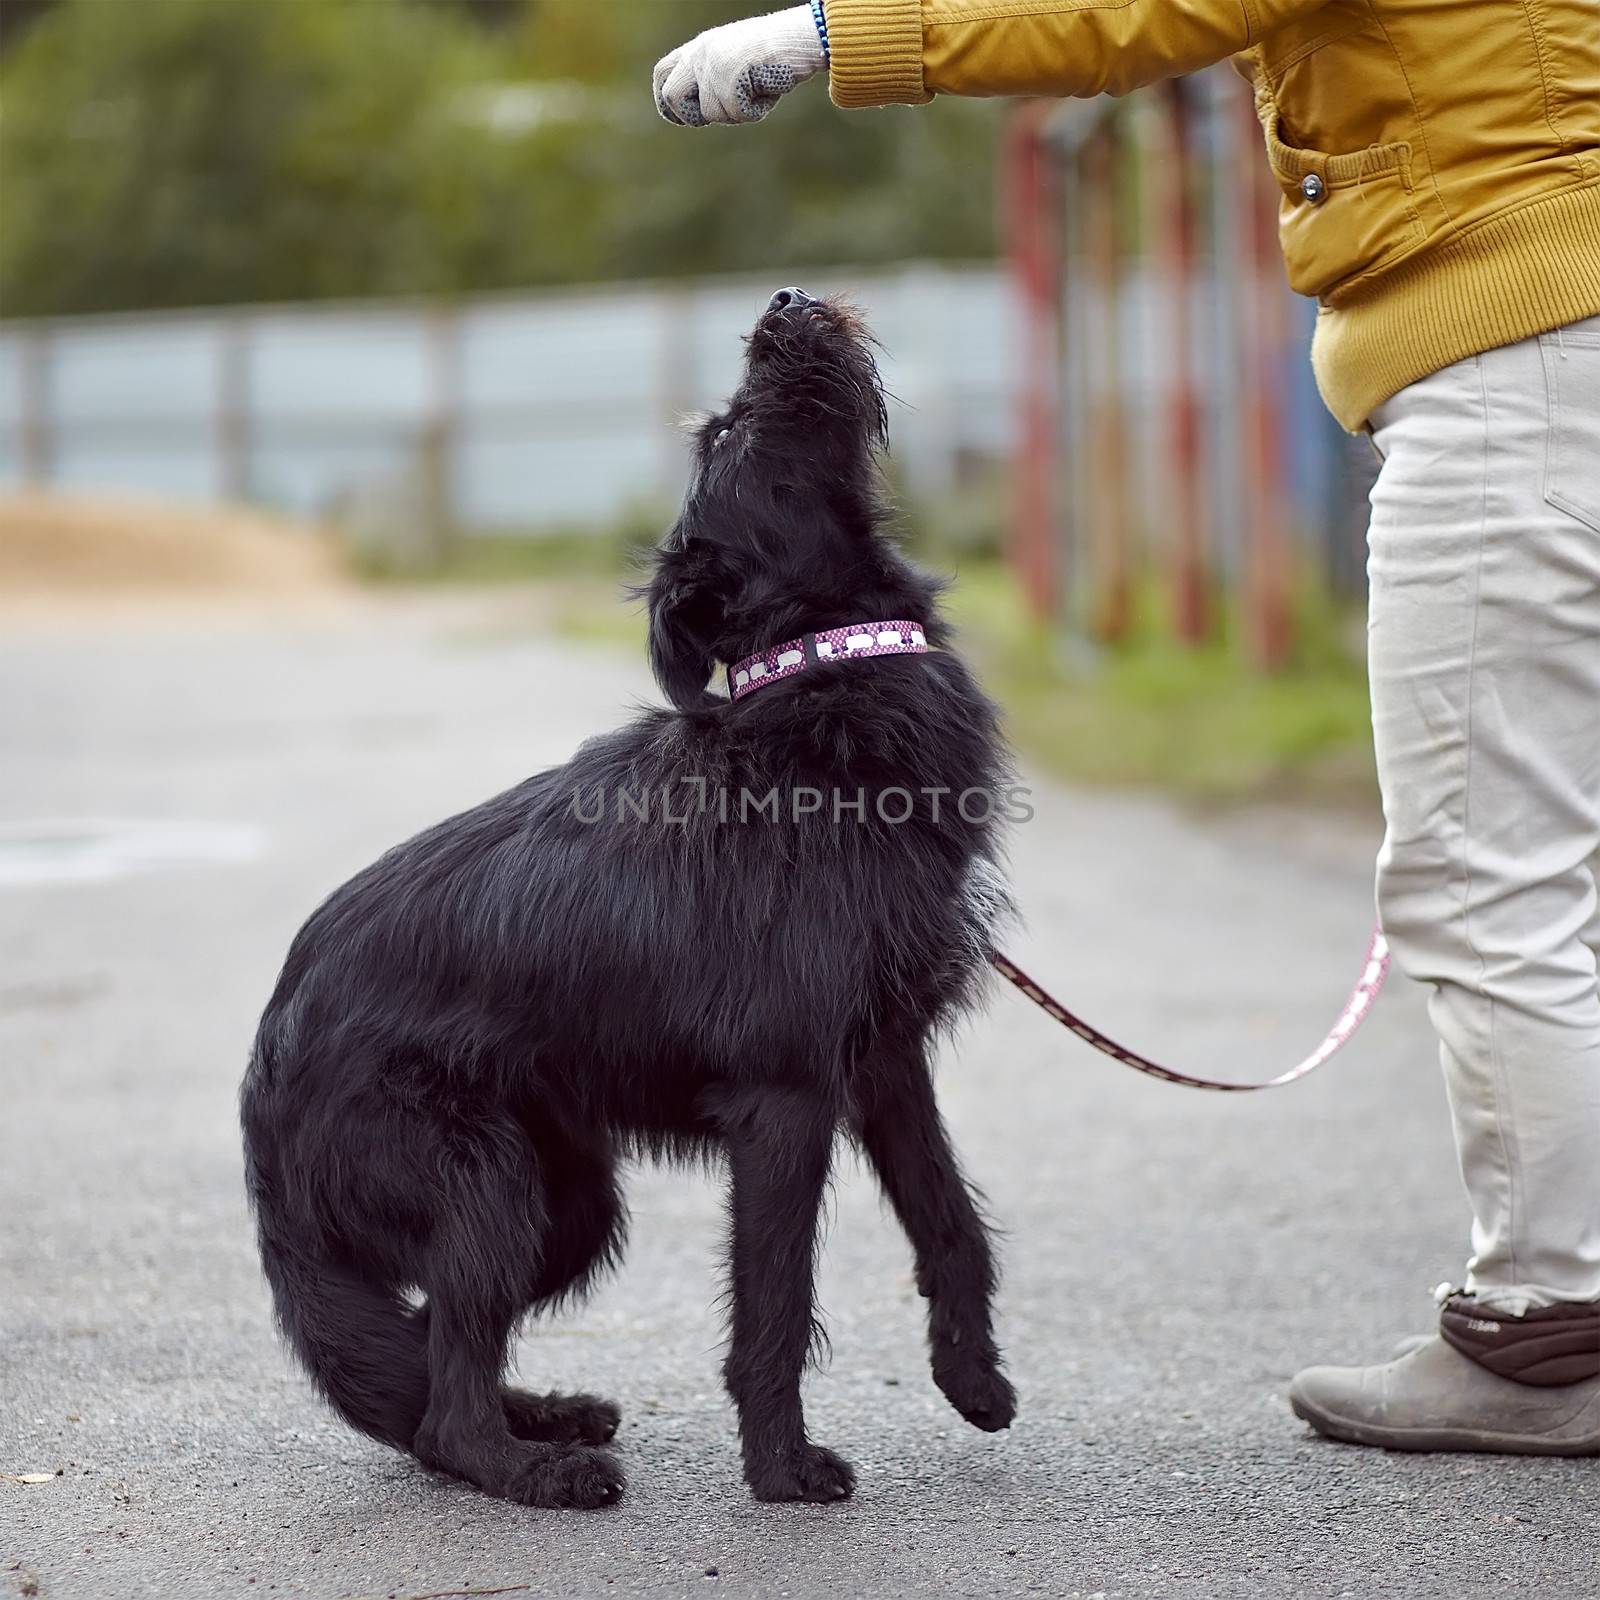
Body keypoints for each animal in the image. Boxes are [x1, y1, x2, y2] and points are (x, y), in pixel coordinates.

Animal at [243, 291, 1017, 1510]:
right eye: (732, 438)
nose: (782, 303)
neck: (820, 672)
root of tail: (263, 1065)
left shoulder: (886, 1060)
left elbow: (950, 1220)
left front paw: (971, 1376)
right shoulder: (786, 1099)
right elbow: (775, 1303)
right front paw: (783, 1471)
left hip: (565, 1201)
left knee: (430, 1361)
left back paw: (546, 1416)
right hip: (487, 1185)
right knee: (443, 1407)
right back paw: (541, 1472)